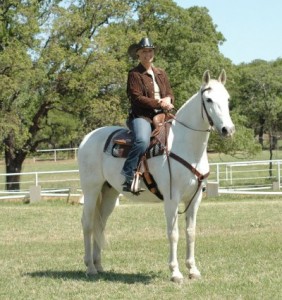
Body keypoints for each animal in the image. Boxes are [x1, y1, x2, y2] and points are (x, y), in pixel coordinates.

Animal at [77, 69, 236, 282]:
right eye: (209, 99)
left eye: (227, 99)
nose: (228, 129)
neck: (185, 145)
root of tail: (87, 138)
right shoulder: (171, 198)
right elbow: (173, 233)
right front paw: (175, 272)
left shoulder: (195, 198)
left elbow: (191, 232)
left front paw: (193, 269)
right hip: (91, 189)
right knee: (87, 223)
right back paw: (90, 267)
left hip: (109, 193)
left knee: (100, 224)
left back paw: (99, 265)